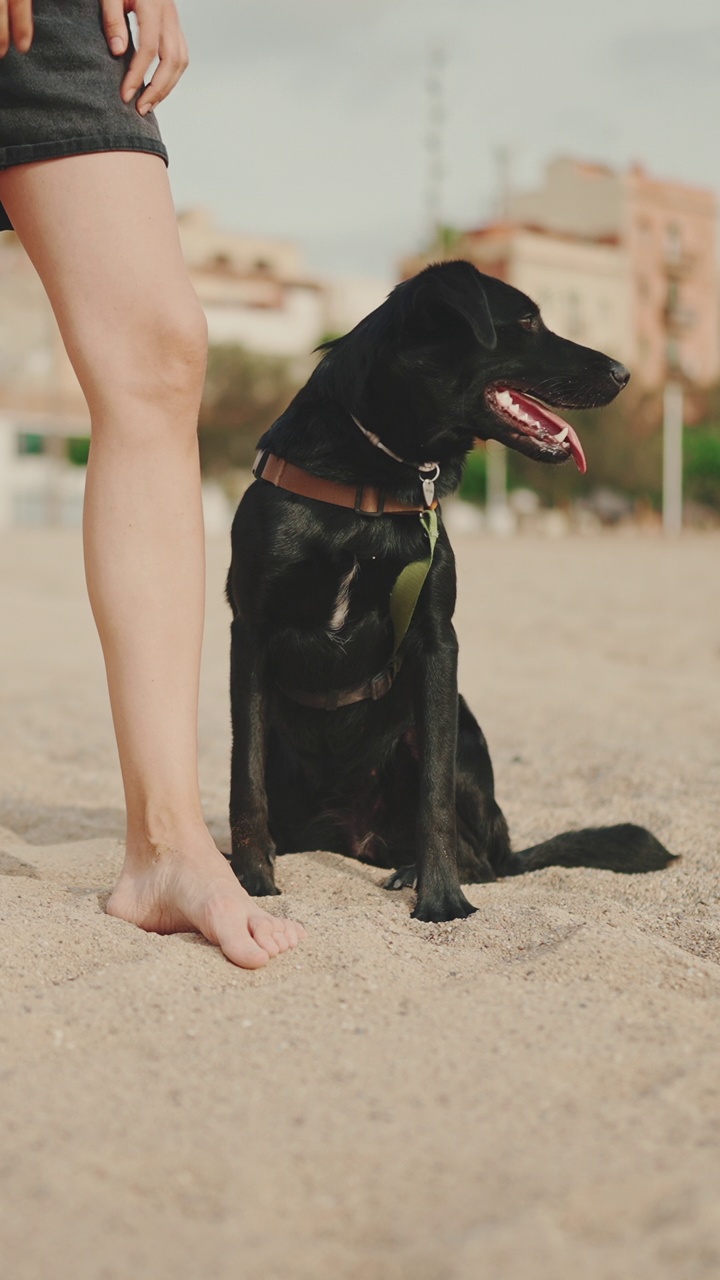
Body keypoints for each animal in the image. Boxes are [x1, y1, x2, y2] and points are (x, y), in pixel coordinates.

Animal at [225, 259, 671, 921]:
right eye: (528, 321)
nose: (624, 372)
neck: (370, 482)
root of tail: (353, 836)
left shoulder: (437, 642)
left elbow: (433, 792)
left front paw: (440, 898)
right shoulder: (250, 635)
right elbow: (244, 776)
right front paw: (251, 879)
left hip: (462, 733)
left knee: (479, 854)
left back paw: (422, 869)